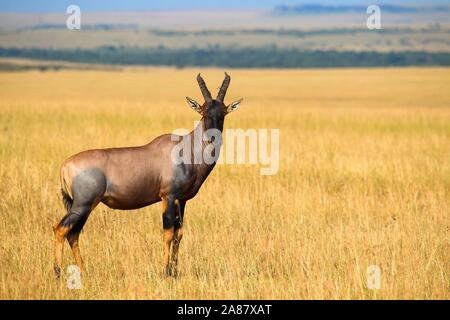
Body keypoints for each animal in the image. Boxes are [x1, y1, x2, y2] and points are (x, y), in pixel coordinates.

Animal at [53, 72, 243, 278]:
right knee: (61, 229)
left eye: (223, 113)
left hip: (85, 206)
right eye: (203, 112)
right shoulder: (168, 196)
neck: (184, 149)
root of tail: (65, 165)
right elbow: (168, 233)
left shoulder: (182, 200)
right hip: (83, 204)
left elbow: (179, 234)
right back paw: (58, 272)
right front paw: (165, 272)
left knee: (73, 233)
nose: (213, 138)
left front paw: (174, 271)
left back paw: (83, 271)